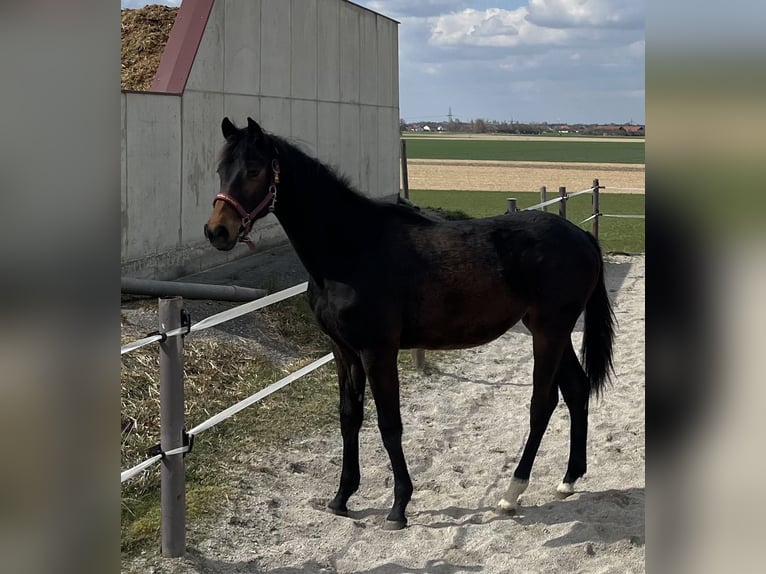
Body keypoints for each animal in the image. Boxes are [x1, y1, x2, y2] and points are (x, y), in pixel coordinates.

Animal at [205, 117, 615, 530]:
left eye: (254, 169)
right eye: (221, 170)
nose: (217, 231)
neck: (349, 249)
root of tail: (581, 236)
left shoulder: (377, 351)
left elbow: (389, 424)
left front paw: (399, 506)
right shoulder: (343, 350)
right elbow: (349, 417)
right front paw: (341, 497)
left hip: (549, 331)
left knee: (542, 403)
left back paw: (512, 494)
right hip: (550, 330)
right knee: (576, 390)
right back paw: (569, 479)